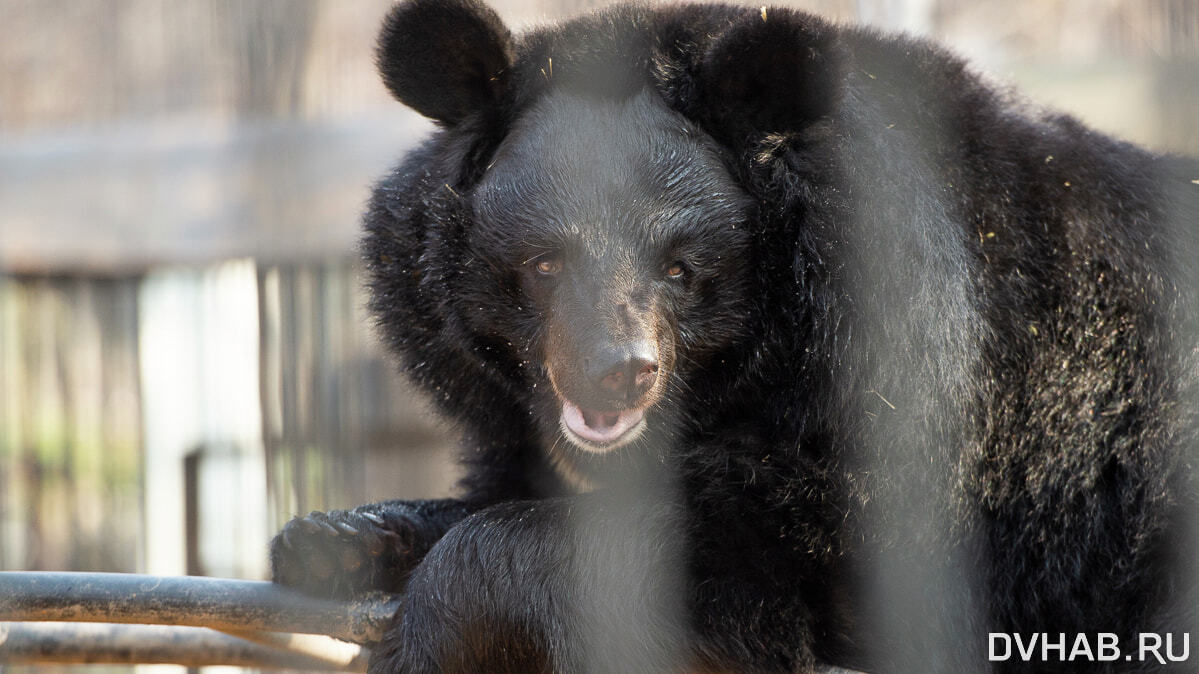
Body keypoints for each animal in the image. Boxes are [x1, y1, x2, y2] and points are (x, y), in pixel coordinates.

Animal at [272, 2, 1199, 666]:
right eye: (542, 264)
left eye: (681, 269)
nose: (617, 373)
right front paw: (331, 542)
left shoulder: (909, 426)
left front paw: (421, 639)